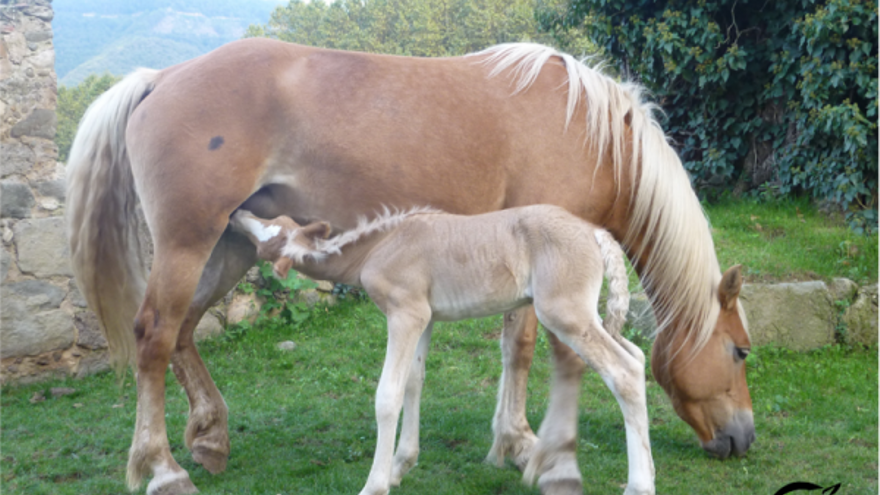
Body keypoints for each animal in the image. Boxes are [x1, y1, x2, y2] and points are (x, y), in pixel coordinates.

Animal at [229, 205, 652, 495]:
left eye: (266, 237)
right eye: (276, 217)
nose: (238, 213)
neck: (377, 248)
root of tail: (596, 232)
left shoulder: (405, 313)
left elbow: (387, 395)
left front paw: (375, 484)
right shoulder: (425, 316)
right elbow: (413, 381)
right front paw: (400, 467)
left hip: (564, 313)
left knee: (623, 372)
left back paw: (639, 485)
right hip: (585, 314)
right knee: (636, 355)